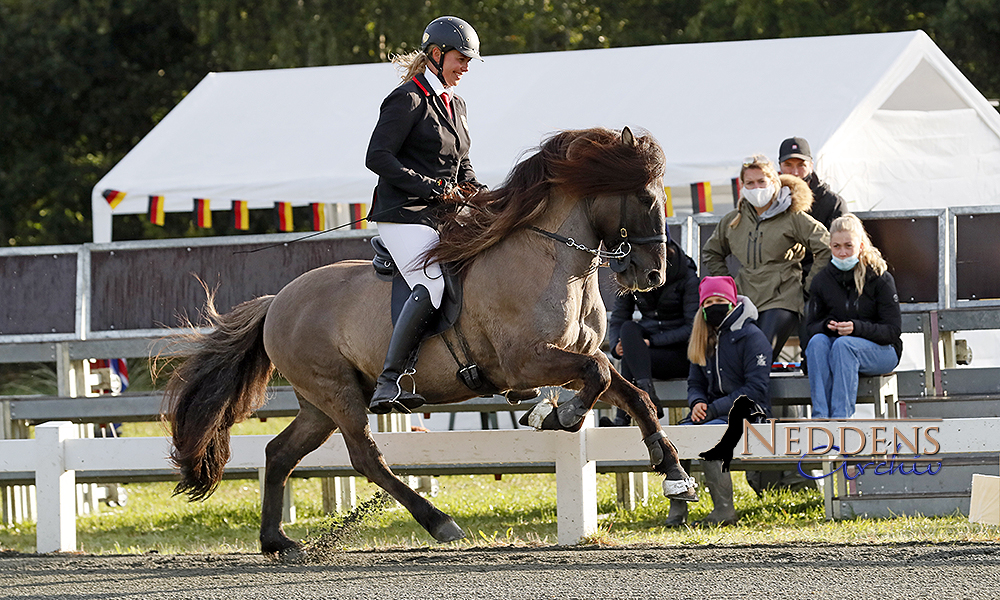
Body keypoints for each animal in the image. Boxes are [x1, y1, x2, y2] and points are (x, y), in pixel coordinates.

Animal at [164, 126, 696, 556]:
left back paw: (276, 541)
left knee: (279, 453)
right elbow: (599, 375)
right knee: (366, 457)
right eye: (646, 199)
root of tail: (277, 300)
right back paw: (440, 523)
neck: (551, 260)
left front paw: (674, 475)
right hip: (337, 393)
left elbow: (633, 394)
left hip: (320, 403)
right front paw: (560, 415)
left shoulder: (576, 353)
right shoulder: (527, 362)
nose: (652, 276)